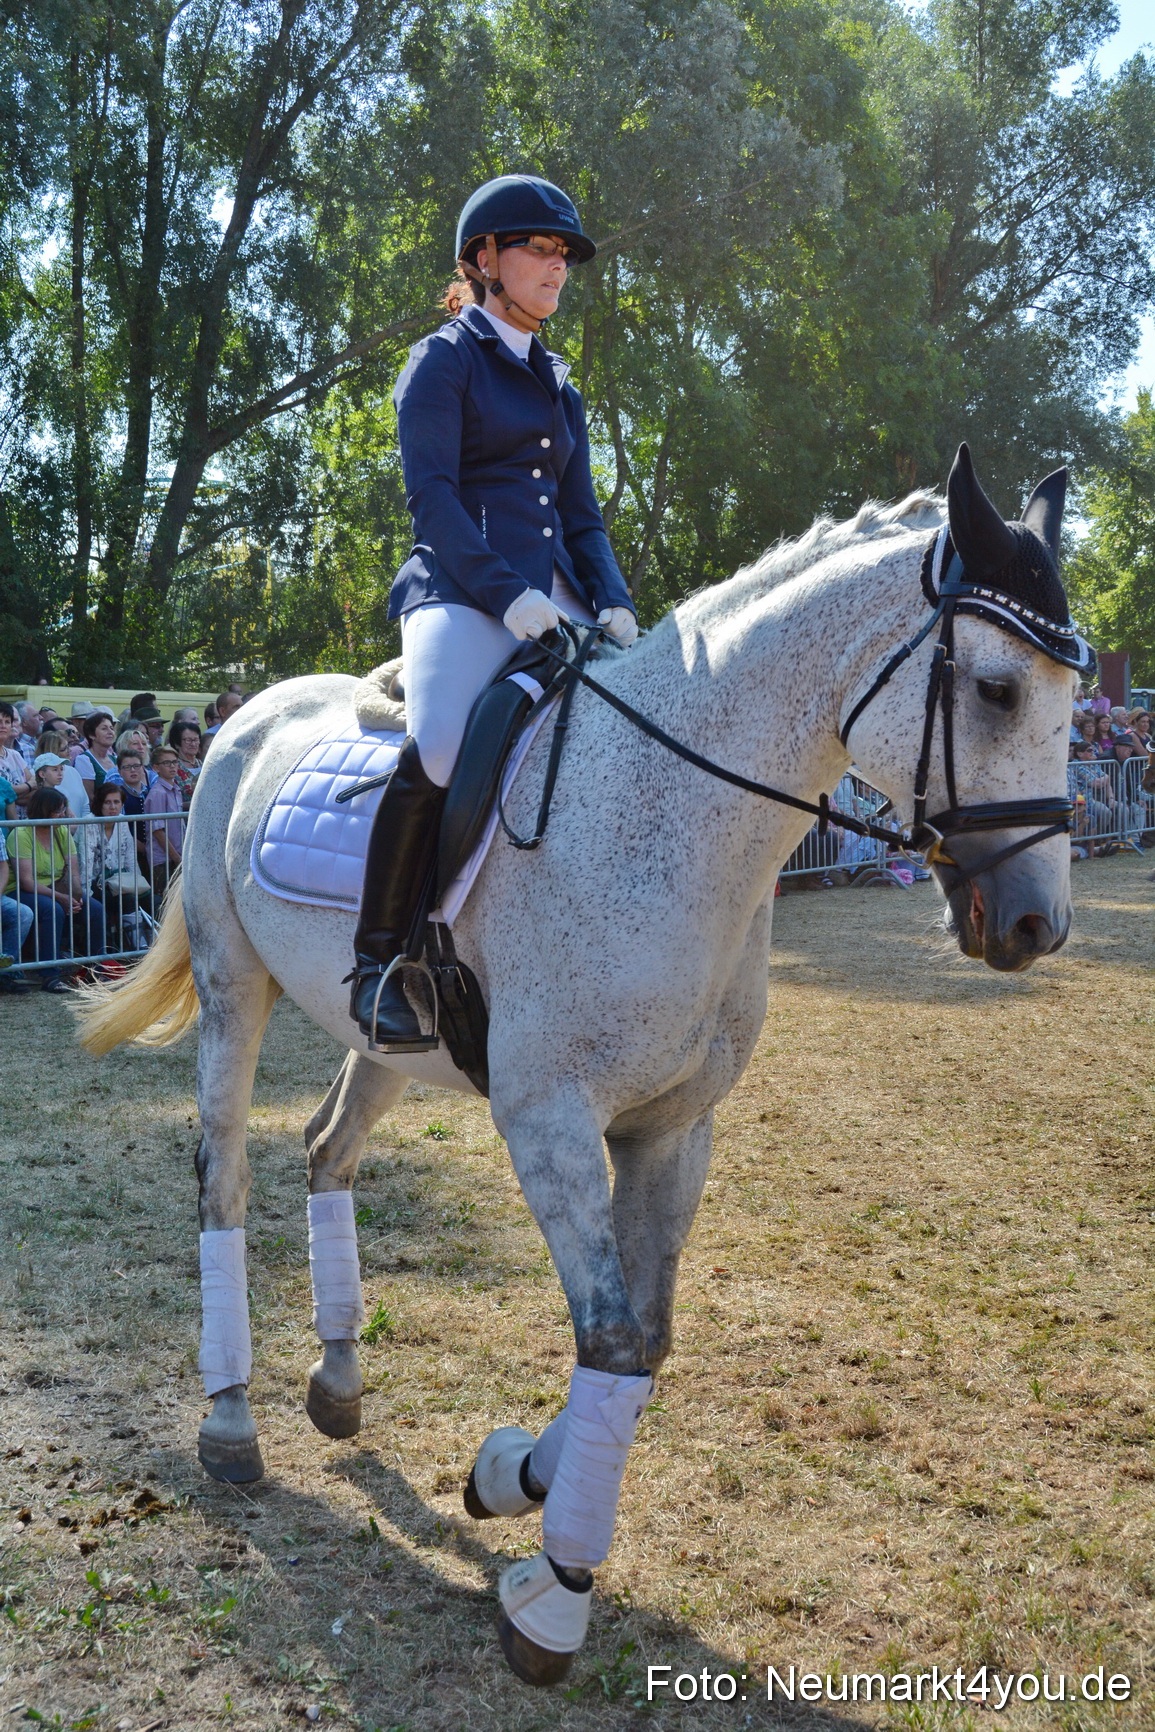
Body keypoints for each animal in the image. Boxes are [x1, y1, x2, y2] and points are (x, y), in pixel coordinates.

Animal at [78, 446, 1084, 1685]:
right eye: (996, 689)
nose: (1037, 925)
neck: (676, 820)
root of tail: (250, 713)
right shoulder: (550, 1119)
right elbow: (612, 1336)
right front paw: (555, 1593)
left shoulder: (672, 1128)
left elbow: (647, 1341)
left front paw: (512, 1477)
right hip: (235, 988)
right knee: (222, 1175)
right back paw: (230, 1422)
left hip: (386, 1040)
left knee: (326, 1152)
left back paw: (339, 1379)